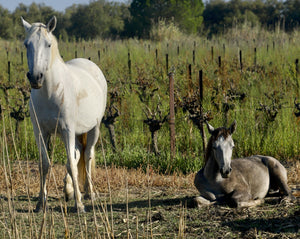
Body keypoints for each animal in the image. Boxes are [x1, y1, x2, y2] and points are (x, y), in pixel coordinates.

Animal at [21, 15, 107, 212]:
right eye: (26, 44)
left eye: (48, 44)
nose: (35, 77)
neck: (51, 92)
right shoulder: (40, 132)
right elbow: (44, 164)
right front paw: (40, 203)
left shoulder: (67, 129)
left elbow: (72, 165)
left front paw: (79, 204)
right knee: (77, 153)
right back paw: (69, 191)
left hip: (93, 129)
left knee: (87, 155)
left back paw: (89, 193)